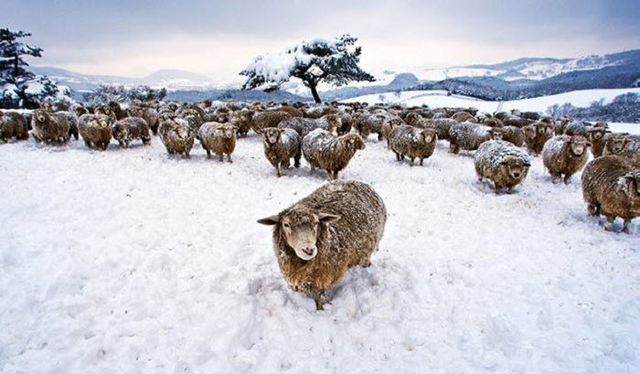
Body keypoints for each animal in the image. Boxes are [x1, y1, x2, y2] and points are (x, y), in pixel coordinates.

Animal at [258, 179, 388, 310]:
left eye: (316, 222)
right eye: (286, 225)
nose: (308, 249)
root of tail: (359, 182)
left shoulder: (325, 277)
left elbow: (321, 295)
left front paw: (322, 308)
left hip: (368, 249)